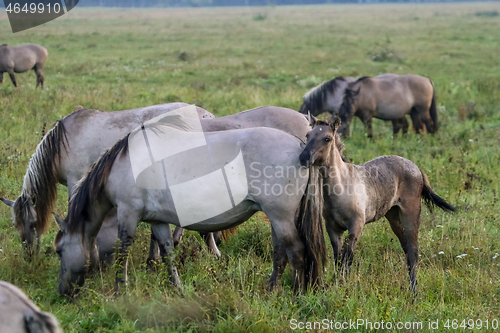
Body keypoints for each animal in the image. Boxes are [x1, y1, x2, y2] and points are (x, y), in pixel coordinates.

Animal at [52, 115, 326, 294]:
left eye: (59, 251)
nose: (63, 291)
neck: (126, 163)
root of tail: (300, 148)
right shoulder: (157, 220)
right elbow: (167, 252)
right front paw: (177, 287)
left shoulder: (128, 214)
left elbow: (124, 250)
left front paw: (121, 288)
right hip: (276, 218)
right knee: (280, 253)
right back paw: (272, 288)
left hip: (280, 216)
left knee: (296, 252)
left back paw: (297, 293)